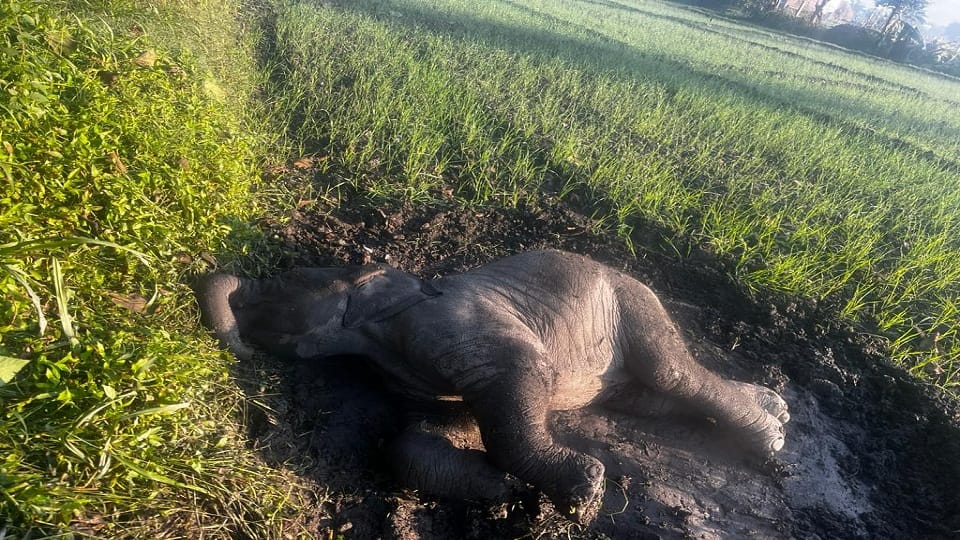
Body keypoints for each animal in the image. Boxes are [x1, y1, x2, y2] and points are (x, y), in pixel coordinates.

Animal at [197, 250, 789, 522]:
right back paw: (777, 409)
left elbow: (523, 374)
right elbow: (416, 439)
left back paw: (773, 444)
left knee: (672, 373)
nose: (243, 349)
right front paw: (507, 493)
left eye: (286, 280)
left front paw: (582, 499)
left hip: (630, 300)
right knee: (657, 398)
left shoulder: (452, 326)